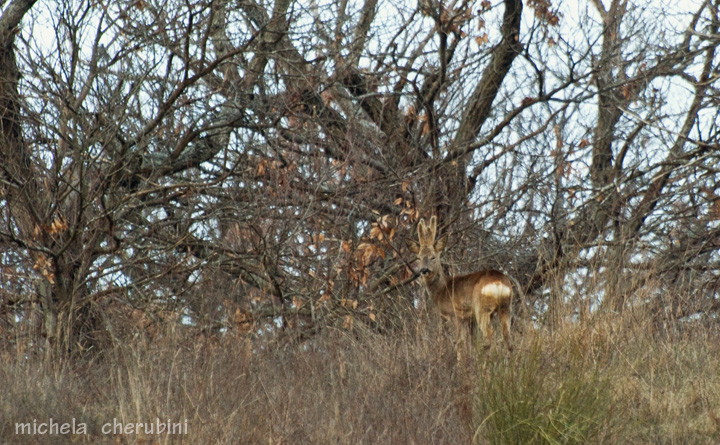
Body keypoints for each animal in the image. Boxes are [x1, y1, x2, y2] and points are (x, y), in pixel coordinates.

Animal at [404, 217, 512, 352]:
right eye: (418, 258)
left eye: (433, 257)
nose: (424, 270)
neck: (442, 289)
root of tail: (498, 282)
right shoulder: (470, 319)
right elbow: (471, 341)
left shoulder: (455, 314)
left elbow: (459, 342)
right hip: (506, 306)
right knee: (508, 336)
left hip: (482, 308)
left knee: (489, 334)